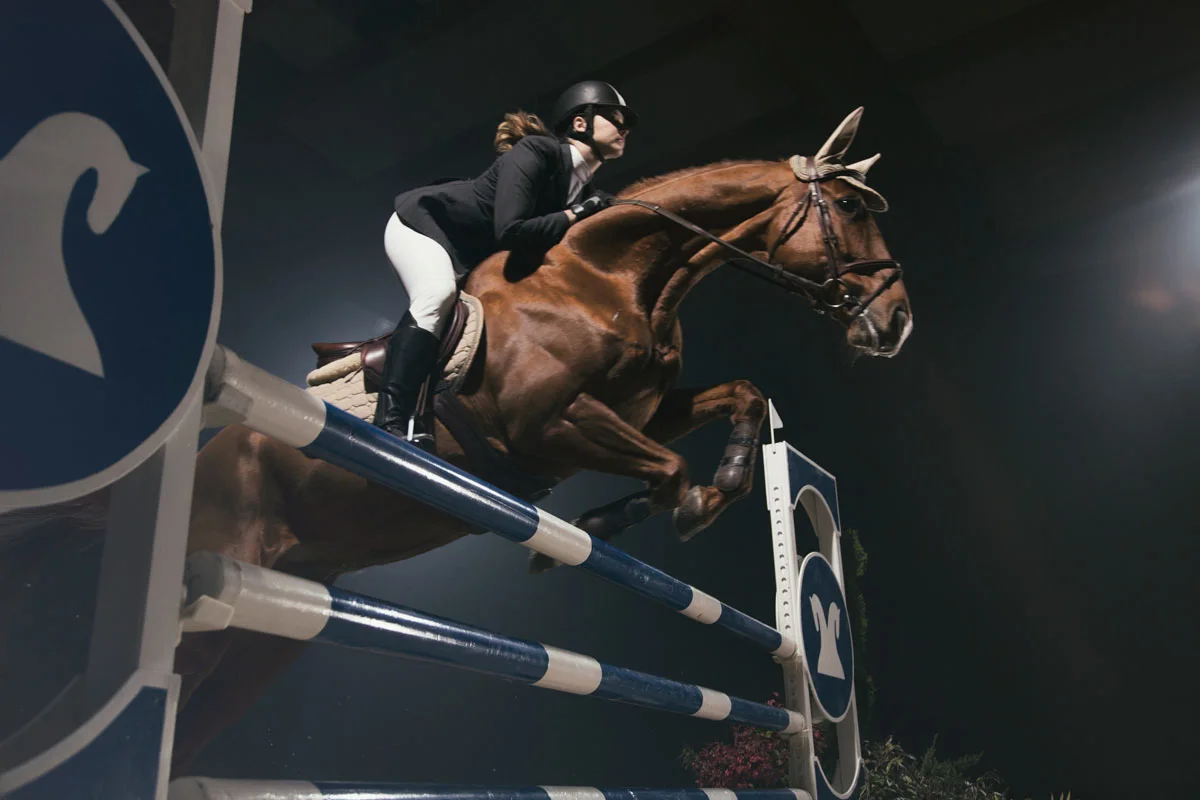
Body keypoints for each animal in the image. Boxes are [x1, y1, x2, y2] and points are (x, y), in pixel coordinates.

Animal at [39, 107, 907, 777]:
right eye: (851, 208)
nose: (896, 324)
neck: (615, 276)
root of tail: (206, 454)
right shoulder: (548, 427)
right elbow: (665, 470)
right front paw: (605, 527)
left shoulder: (640, 409)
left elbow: (742, 398)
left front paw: (719, 485)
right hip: (213, 597)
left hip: (263, 638)